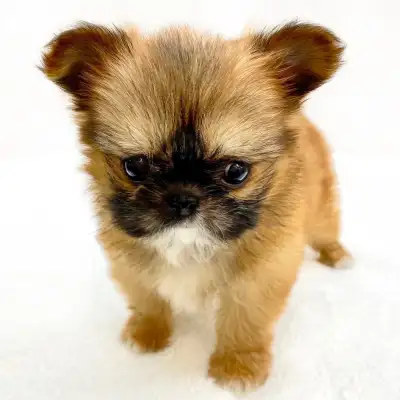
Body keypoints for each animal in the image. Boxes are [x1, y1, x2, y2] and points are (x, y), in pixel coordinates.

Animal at [41, 21, 351, 391]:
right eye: (135, 166)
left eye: (236, 172)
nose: (184, 198)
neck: (188, 247)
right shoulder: (130, 261)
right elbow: (147, 298)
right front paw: (147, 333)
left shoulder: (261, 275)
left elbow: (244, 321)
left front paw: (238, 366)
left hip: (321, 210)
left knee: (326, 231)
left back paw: (337, 255)